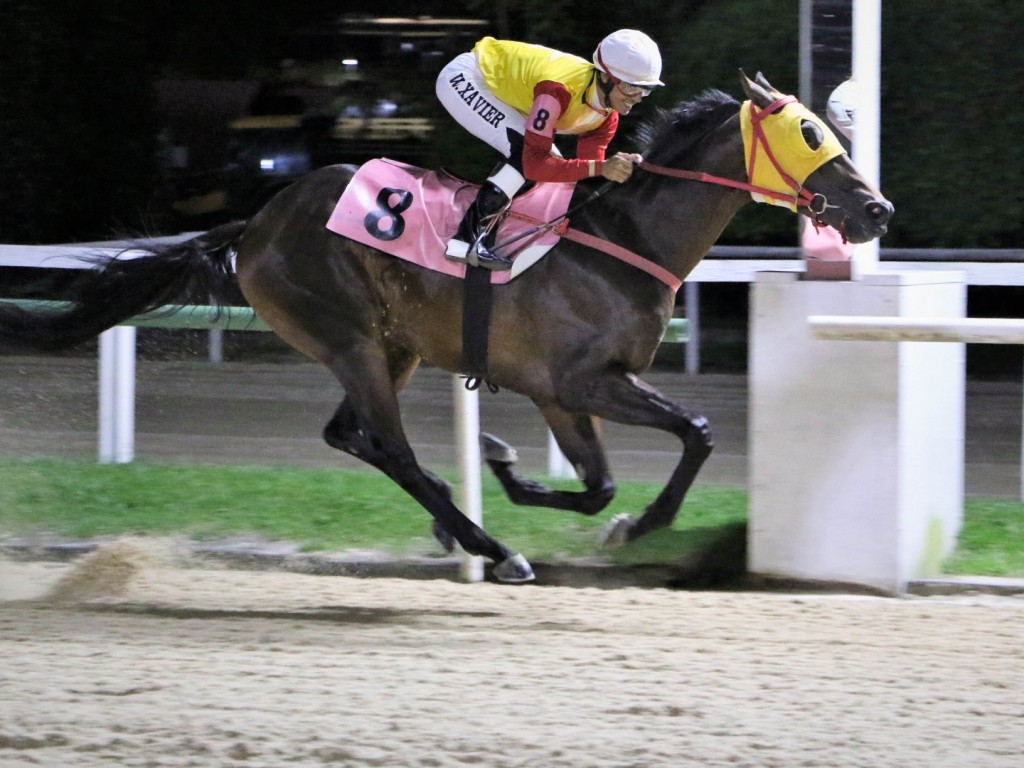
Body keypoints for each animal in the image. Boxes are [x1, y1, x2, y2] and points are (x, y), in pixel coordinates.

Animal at [2, 73, 888, 581]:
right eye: (812, 133)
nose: (875, 210)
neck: (625, 242)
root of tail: (256, 222)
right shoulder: (581, 384)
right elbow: (692, 435)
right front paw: (634, 525)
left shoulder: (565, 395)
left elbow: (602, 483)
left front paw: (512, 469)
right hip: (352, 339)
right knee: (388, 446)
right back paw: (492, 549)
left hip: (388, 347)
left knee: (351, 436)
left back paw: (457, 526)